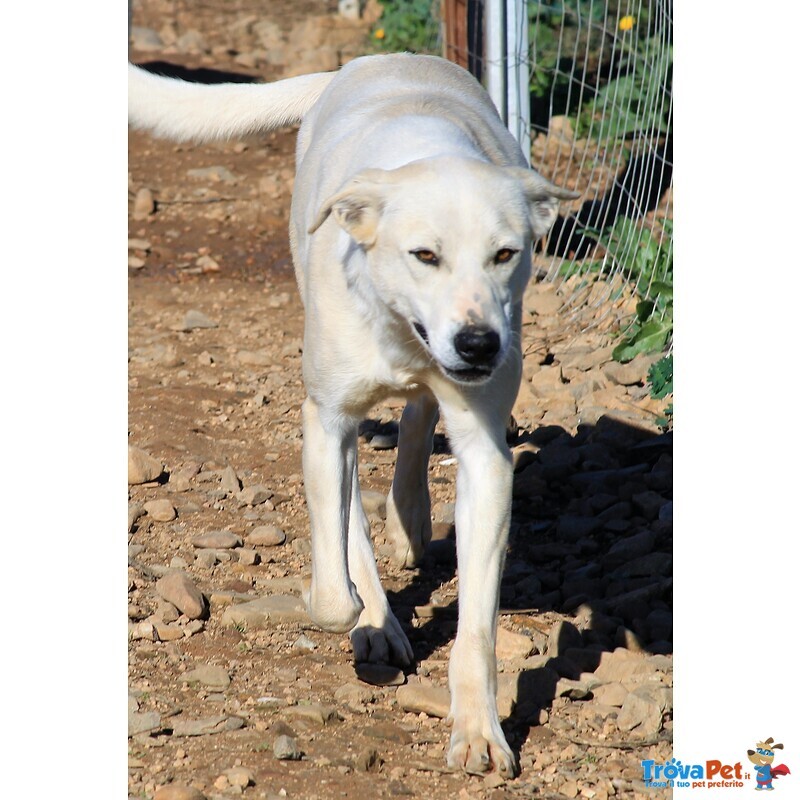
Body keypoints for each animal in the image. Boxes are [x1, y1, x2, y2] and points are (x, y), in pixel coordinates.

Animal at [130, 54, 580, 776]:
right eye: (425, 255)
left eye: (505, 254)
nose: (479, 344)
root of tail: (372, 61)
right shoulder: (326, 422)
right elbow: (335, 586)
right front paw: (356, 615)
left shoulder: (487, 456)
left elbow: (478, 626)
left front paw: (479, 731)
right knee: (349, 519)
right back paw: (375, 620)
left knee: (419, 418)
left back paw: (410, 516)